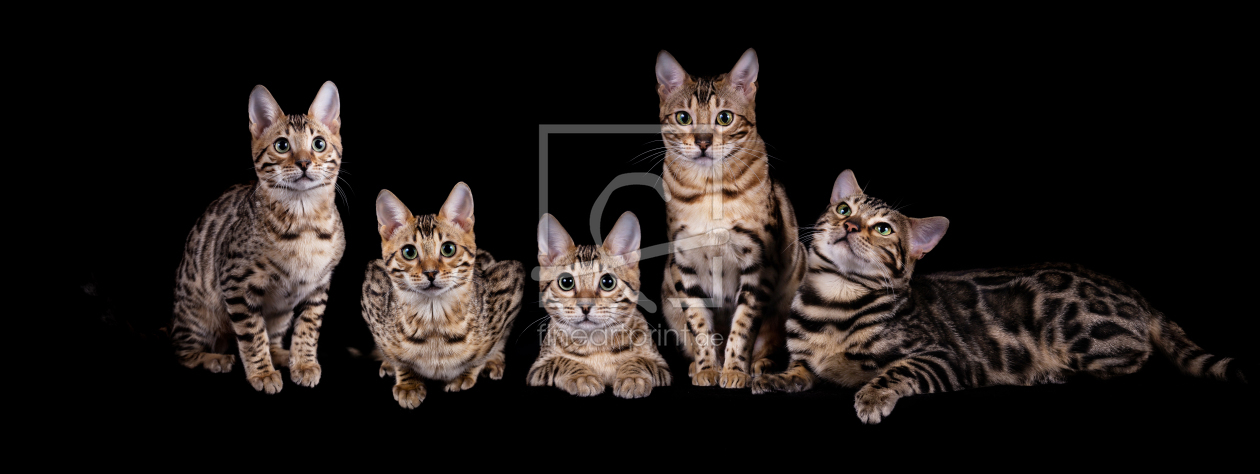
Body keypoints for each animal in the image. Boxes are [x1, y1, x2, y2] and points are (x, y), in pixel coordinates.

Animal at [170, 80, 345, 393]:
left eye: (319, 144)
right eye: (282, 145)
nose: (304, 162)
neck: (305, 222)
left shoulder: (318, 286)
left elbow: (308, 329)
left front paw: (303, 363)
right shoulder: (236, 283)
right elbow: (252, 335)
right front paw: (262, 374)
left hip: (281, 313)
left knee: (274, 335)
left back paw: (283, 355)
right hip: (198, 313)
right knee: (184, 351)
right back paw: (214, 359)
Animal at [655, 48, 801, 388]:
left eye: (724, 117)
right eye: (683, 117)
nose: (703, 142)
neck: (710, 193)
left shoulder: (758, 261)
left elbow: (743, 327)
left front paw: (735, 369)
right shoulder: (684, 263)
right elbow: (699, 325)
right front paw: (708, 367)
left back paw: (759, 366)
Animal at [745, 168, 1249, 421]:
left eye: (883, 228)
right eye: (844, 209)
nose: (849, 225)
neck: (835, 301)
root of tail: (1137, 295)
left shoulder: (941, 357)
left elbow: (894, 371)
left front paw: (871, 396)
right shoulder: (808, 360)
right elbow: (799, 371)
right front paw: (773, 378)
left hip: (1081, 334)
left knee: (1133, 362)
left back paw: (1050, 373)